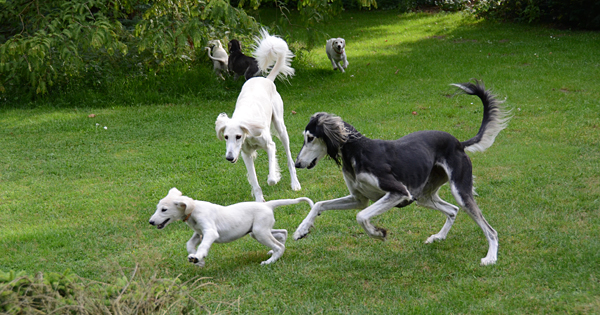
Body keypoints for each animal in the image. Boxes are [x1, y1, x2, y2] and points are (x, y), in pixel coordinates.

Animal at [149, 189, 314, 268]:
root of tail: (267, 205)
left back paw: (270, 261)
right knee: (282, 234)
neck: (193, 209)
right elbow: (189, 244)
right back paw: (273, 252)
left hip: (260, 232)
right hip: (257, 231)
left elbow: (202, 245)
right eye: (157, 207)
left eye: (164, 210)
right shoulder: (198, 233)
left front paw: (198, 257)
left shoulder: (210, 232)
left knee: (279, 246)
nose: (151, 222)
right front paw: (197, 260)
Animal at [216, 29, 300, 202]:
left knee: (290, 160)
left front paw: (274, 178)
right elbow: (254, 182)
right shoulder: (245, 154)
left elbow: (272, 178)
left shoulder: (270, 146)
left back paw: (295, 183)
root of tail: (266, 79)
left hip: (281, 128)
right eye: (226, 137)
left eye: (238, 136)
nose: (229, 158)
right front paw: (259, 201)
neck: (248, 134)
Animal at [296, 82, 510, 266]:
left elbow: (361, 216)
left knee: (490, 230)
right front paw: (301, 230)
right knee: (452, 210)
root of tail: (459, 142)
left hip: (459, 191)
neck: (357, 152)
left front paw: (378, 233)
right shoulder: (359, 198)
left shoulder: (398, 192)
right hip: (423, 195)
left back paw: (491, 257)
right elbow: (319, 204)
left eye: (310, 138)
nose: (297, 164)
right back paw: (439, 237)